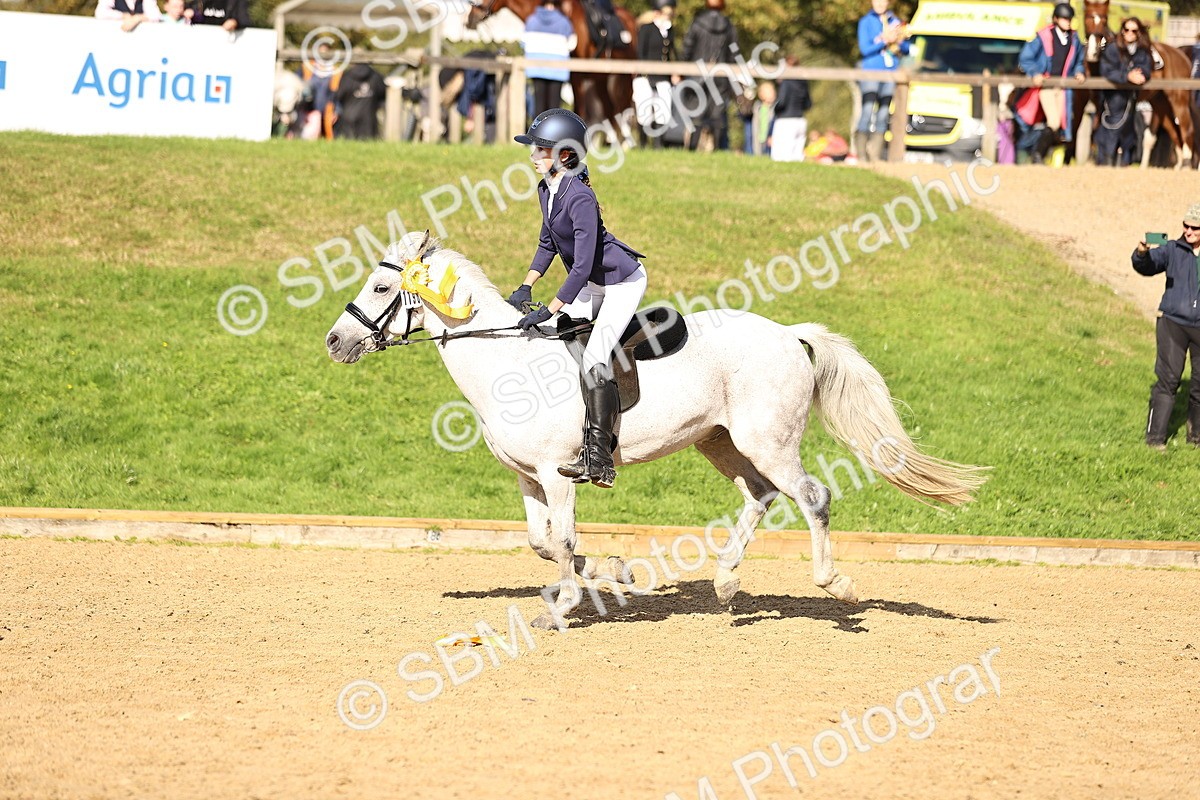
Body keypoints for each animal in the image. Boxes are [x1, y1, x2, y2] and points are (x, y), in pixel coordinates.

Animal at [324, 232, 988, 630]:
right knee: (760, 496)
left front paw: (564, 605)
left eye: (381, 288)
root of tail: (787, 334)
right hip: (721, 442)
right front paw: (615, 570)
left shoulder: (556, 474)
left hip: (769, 442)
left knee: (812, 496)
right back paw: (725, 583)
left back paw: (836, 586)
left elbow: (560, 542)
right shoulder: (528, 479)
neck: (504, 360)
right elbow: (543, 542)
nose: (334, 341)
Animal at [467, 0, 638, 141]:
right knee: (610, 109)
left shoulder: (579, 74)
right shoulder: (574, 76)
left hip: (623, 77)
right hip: (601, 78)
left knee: (622, 109)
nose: (470, 18)